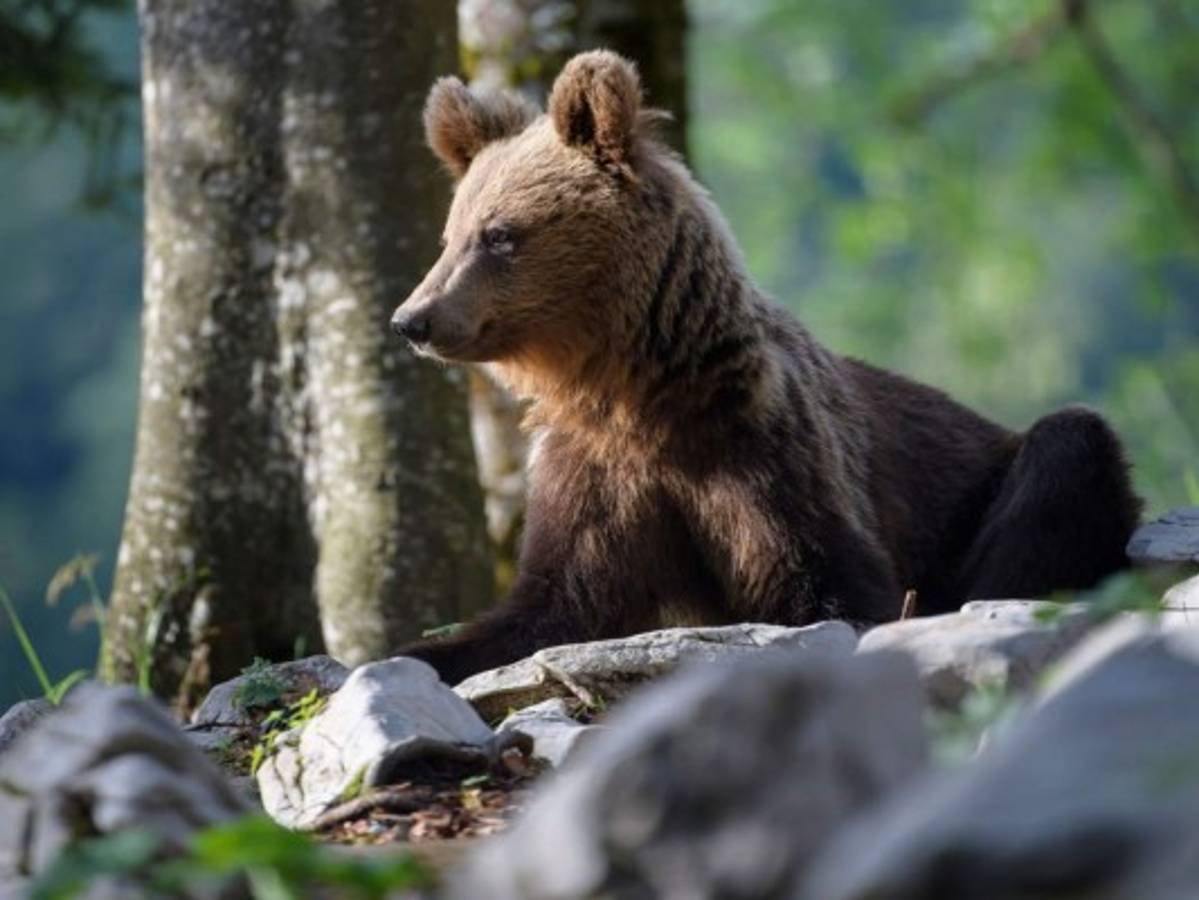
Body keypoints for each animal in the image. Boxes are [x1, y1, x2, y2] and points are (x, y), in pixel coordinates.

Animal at [391, 50, 1143, 685]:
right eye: (450, 235)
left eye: (499, 235)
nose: (412, 319)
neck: (636, 388)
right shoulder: (596, 476)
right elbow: (548, 608)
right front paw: (418, 652)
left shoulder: (765, 455)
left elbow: (831, 589)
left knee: (1068, 450)